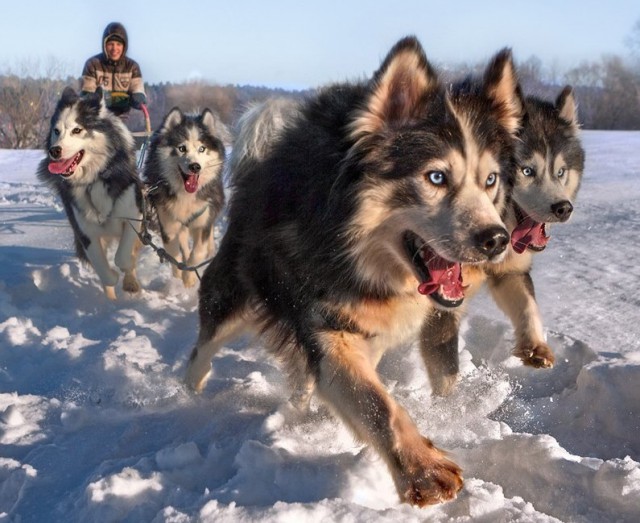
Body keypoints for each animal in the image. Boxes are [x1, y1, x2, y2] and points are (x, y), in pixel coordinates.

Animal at [37, 86, 144, 298]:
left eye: (77, 130)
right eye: (56, 131)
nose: (54, 150)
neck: (92, 181)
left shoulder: (134, 216)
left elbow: (124, 257)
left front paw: (128, 278)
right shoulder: (86, 233)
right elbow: (105, 273)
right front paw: (111, 289)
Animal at [142, 107, 228, 286]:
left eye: (202, 149)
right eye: (181, 148)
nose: (195, 166)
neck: (186, 197)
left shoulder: (202, 221)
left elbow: (198, 252)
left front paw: (189, 278)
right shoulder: (168, 225)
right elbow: (173, 254)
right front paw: (180, 276)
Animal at [185, 37, 524, 508]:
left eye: (490, 180)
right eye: (436, 177)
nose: (496, 239)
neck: (357, 251)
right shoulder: (326, 324)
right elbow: (377, 404)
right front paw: (423, 469)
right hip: (233, 297)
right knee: (202, 350)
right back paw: (187, 395)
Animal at [422, 86, 588, 396]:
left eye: (560, 172)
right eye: (526, 170)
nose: (564, 208)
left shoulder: (511, 272)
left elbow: (528, 306)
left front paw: (535, 347)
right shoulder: (441, 303)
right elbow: (445, 371)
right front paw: (448, 405)